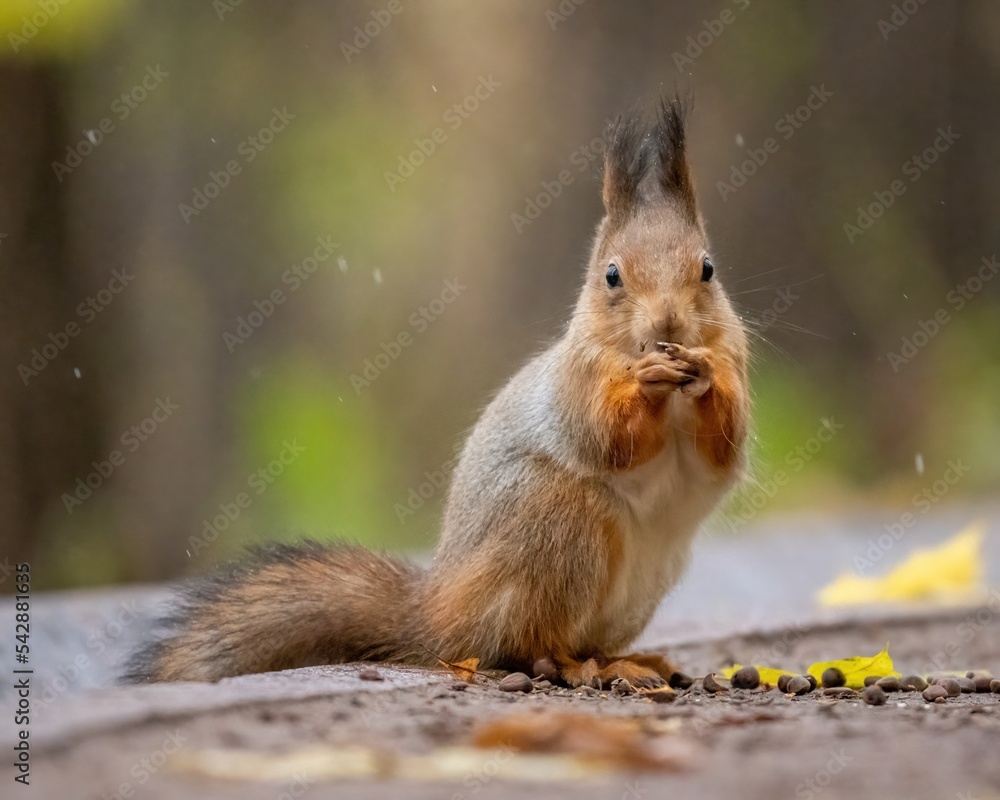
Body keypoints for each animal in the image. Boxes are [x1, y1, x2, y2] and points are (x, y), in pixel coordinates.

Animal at [126, 97, 750, 689]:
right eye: (612, 276)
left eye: (708, 269)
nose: (668, 325)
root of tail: (438, 615)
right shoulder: (575, 384)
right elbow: (607, 438)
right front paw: (646, 381)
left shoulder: (735, 361)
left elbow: (725, 445)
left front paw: (704, 377)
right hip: (559, 527)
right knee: (531, 644)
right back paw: (582, 667)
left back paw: (636, 659)